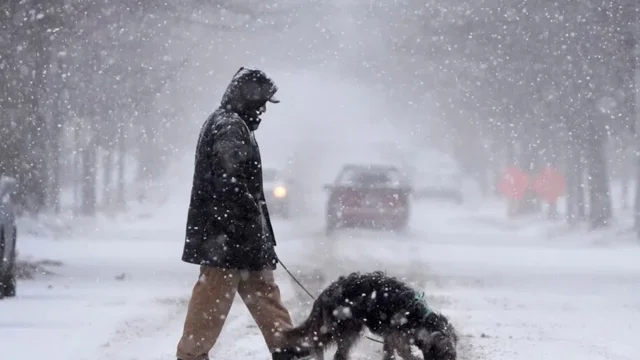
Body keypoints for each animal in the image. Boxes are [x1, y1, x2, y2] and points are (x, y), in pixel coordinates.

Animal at [282, 272, 458, 360]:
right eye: (446, 355)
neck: (420, 318)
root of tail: (324, 294)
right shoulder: (398, 338)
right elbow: (406, 354)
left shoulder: (390, 338)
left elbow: (389, 354)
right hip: (347, 328)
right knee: (337, 353)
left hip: (335, 328)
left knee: (319, 343)